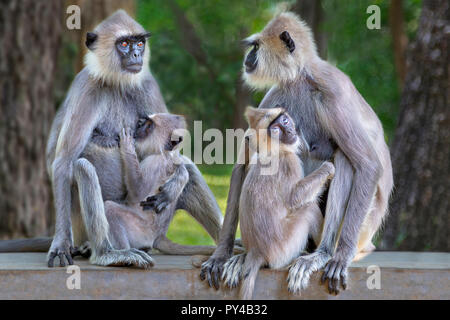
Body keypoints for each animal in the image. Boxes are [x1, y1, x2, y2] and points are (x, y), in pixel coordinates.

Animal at [0, 10, 224, 268]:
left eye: (139, 43)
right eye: (124, 44)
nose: (137, 54)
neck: (117, 83)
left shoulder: (148, 85)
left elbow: (176, 153)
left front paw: (176, 181)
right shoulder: (87, 87)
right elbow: (64, 161)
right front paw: (60, 245)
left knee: (189, 168)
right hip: (87, 226)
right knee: (83, 167)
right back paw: (105, 253)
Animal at [221, 107, 334, 300]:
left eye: (284, 121)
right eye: (276, 130)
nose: (288, 131)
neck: (274, 151)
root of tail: (256, 251)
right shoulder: (289, 162)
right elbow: (295, 198)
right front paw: (328, 168)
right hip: (285, 245)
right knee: (308, 208)